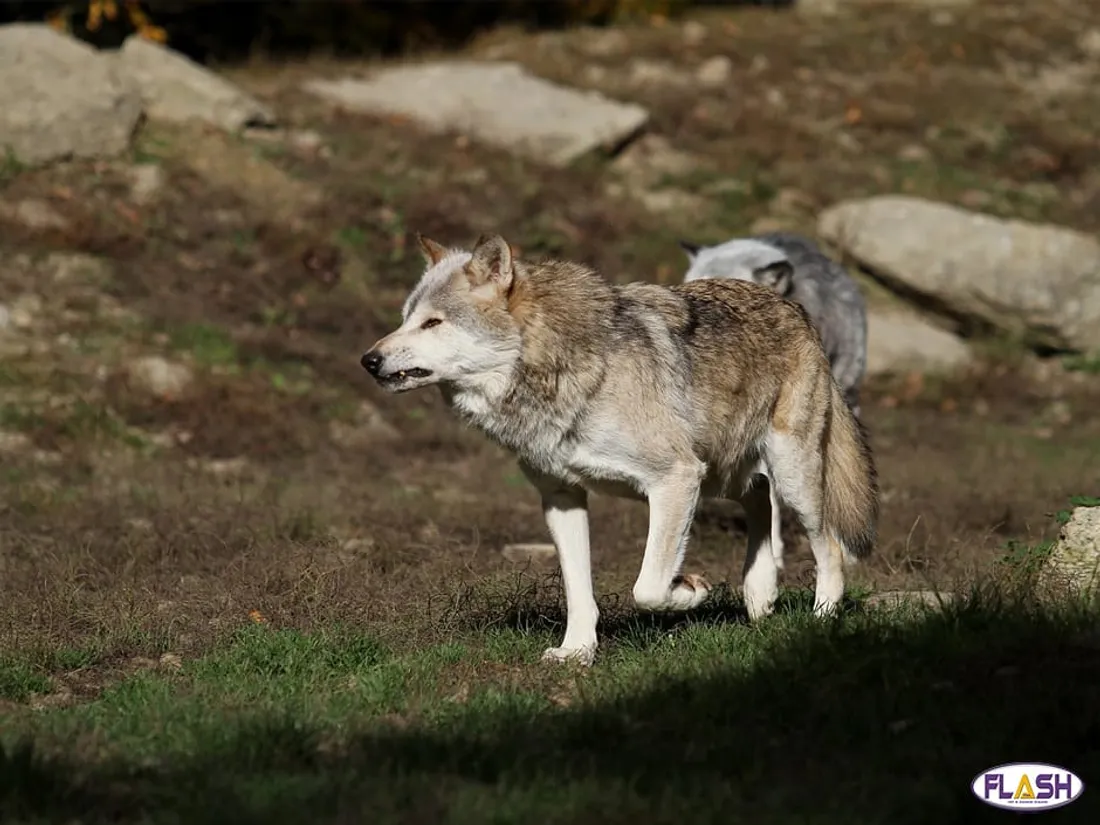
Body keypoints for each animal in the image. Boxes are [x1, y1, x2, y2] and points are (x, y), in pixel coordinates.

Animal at [361, 233, 879, 666]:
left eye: (433, 323)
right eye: (405, 319)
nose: (369, 359)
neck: (561, 370)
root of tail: (793, 306)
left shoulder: (674, 479)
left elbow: (647, 587)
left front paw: (690, 590)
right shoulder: (562, 498)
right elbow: (579, 592)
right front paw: (577, 653)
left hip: (789, 477)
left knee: (828, 544)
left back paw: (821, 617)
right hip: (721, 475)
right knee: (758, 497)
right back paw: (759, 593)